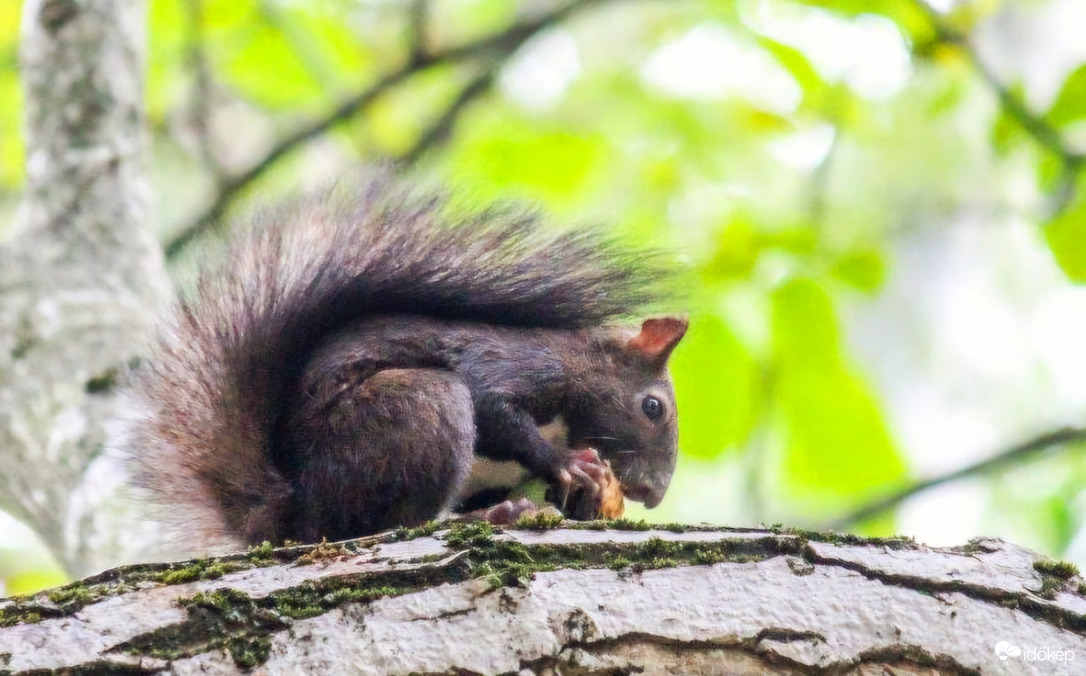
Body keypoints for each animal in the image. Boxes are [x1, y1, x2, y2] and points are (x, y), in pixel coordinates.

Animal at [121, 176, 686, 556]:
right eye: (652, 407)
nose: (652, 494)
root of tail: (295, 513)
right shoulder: (520, 365)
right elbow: (494, 408)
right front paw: (566, 463)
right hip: (414, 409)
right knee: (396, 520)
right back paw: (491, 514)